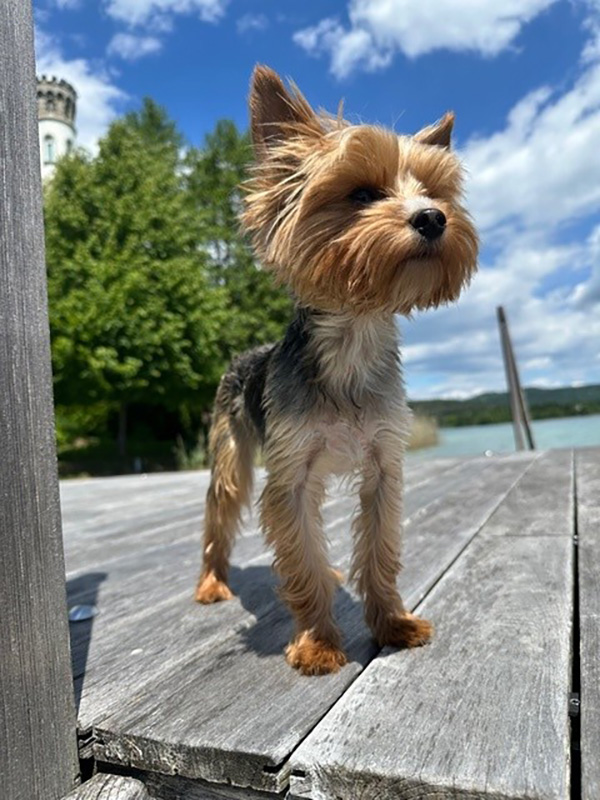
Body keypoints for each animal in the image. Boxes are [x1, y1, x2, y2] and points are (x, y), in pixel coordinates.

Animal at [195, 65, 478, 675]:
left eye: (434, 192)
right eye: (362, 194)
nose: (433, 217)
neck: (354, 335)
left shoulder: (383, 467)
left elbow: (378, 551)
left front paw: (392, 623)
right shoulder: (292, 473)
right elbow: (298, 555)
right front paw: (319, 642)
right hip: (230, 454)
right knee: (219, 517)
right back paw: (210, 583)